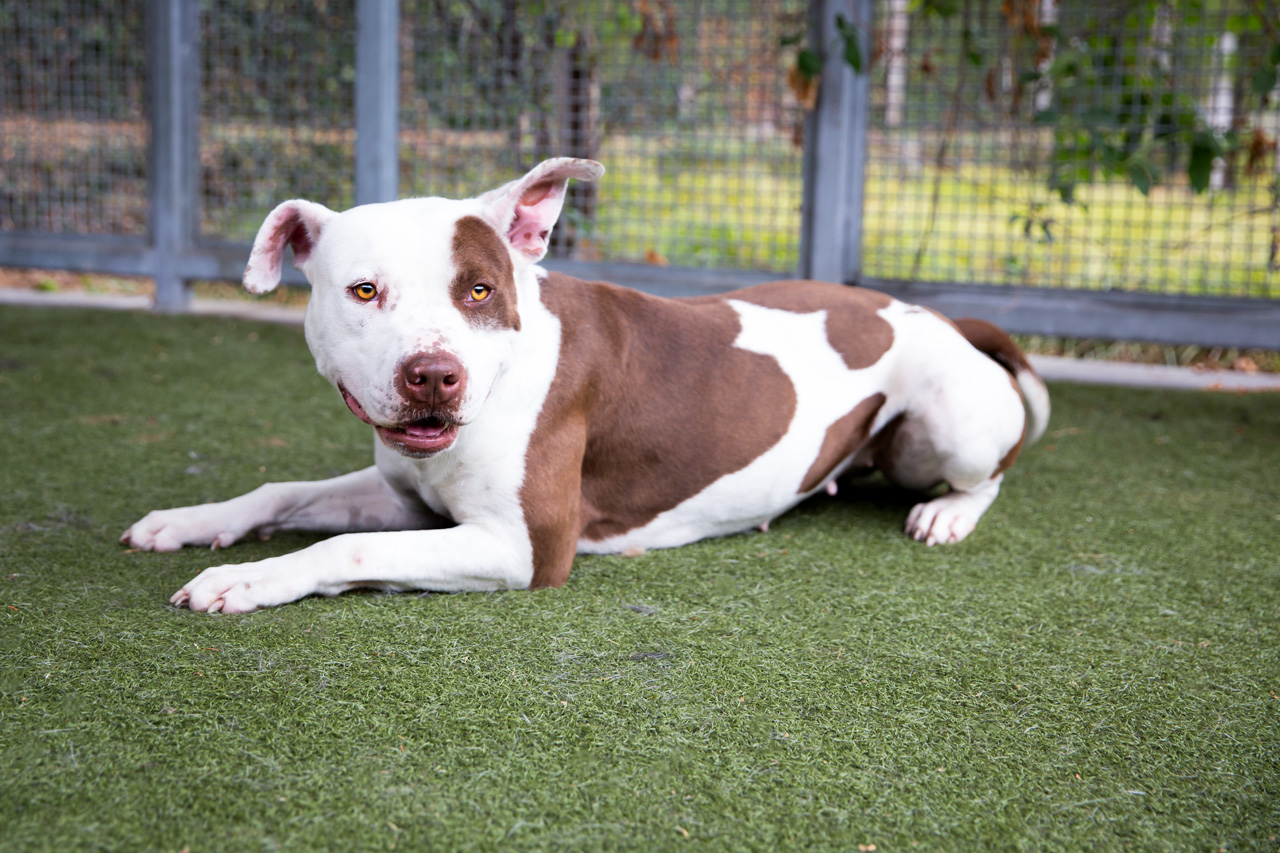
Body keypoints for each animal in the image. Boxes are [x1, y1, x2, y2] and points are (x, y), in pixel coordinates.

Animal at [120, 157, 1044, 612]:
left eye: (479, 290)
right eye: (364, 290)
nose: (434, 375)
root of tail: (937, 314)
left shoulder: (521, 547)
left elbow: (345, 547)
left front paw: (246, 580)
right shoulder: (404, 493)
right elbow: (283, 492)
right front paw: (191, 521)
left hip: (951, 426)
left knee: (995, 472)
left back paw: (948, 515)